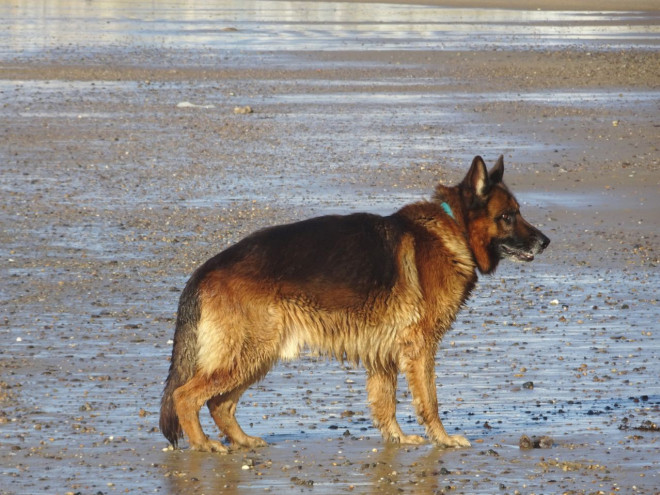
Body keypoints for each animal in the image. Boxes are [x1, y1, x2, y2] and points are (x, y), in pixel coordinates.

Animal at [159, 155, 548, 454]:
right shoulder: (420, 348)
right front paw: (443, 439)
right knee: (185, 395)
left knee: (219, 402)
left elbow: (385, 403)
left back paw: (241, 440)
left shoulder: (384, 354)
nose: (546, 241)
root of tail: (205, 270)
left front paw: (397, 438)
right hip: (250, 352)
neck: (455, 227)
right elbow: (429, 401)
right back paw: (203, 444)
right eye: (508, 216)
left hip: (257, 355)